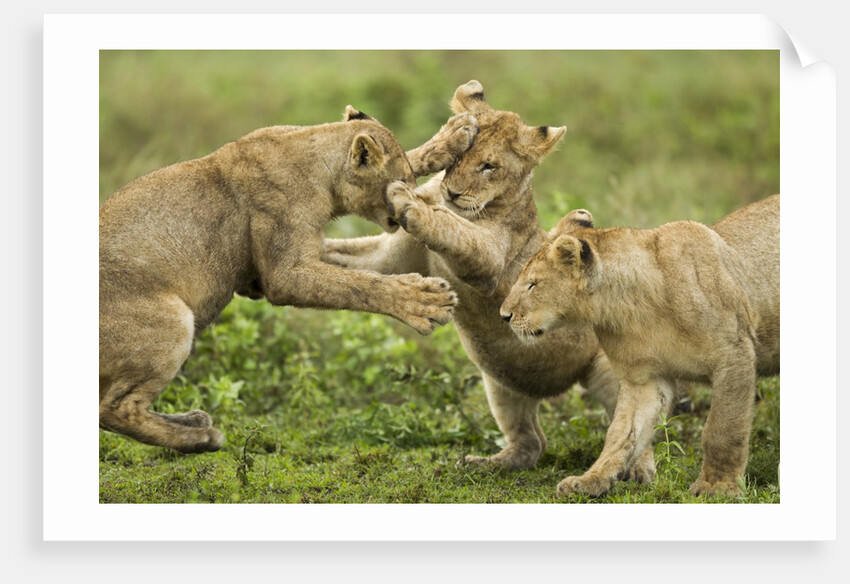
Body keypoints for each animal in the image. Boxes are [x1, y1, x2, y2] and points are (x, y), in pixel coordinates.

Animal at [99, 107, 478, 453]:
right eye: (403, 181)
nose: (417, 200)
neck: (317, 166)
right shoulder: (283, 274)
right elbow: (358, 285)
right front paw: (424, 300)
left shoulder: (274, 268)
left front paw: (456, 134)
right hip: (173, 322)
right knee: (115, 409)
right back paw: (200, 438)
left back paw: (190, 421)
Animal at [322, 81, 656, 480]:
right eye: (458, 159)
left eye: (489, 166)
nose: (452, 192)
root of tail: (555, 389)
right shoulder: (393, 257)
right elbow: (354, 255)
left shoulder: (492, 259)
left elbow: (451, 228)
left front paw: (409, 200)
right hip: (500, 384)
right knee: (532, 443)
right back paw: (485, 464)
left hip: (611, 374)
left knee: (637, 430)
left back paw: (637, 473)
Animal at [500, 195, 780, 496]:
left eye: (533, 284)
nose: (504, 315)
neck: (634, 307)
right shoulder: (643, 379)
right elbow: (621, 433)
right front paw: (589, 481)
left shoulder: (734, 354)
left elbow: (722, 429)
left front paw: (716, 486)